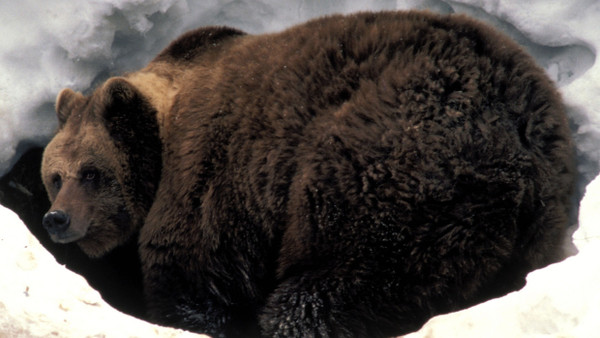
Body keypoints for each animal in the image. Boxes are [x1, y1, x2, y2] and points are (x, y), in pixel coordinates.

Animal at [39, 10, 576, 338]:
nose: (55, 219)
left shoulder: (211, 175)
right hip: (532, 220)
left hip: (388, 173)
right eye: (54, 176)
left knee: (326, 288)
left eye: (92, 173)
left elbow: (195, 274)